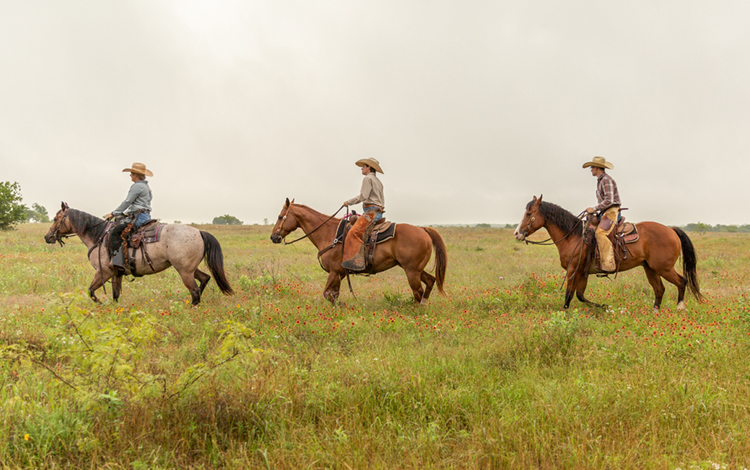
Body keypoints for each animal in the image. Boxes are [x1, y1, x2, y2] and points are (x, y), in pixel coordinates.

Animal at [44, 202, 232, 304]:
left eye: (56, 219)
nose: (47, 237)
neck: (99, 236)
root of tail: (199, 232)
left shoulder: (103, 272)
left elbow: (91, 291)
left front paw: (101, 306)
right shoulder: (116, 273)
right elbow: (115, 294)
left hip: (184, 271)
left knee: (194, 291)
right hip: (189, 269)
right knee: (204, 279)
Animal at [270, 198, 446, 304]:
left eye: (280, 217)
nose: (273, 237)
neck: (329, 233)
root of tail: (422, 229)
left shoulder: (334, 272)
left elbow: (328, 294)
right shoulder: (340, 274)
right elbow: (333, 295)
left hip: (412, 271)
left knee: (418, 291)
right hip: (415, 269)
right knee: (430, 282)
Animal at [516, 196, 704, 310]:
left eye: (529, 213)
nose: (517, 233)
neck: (574, 236)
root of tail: (671, 230)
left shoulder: (573, 270)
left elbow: (569, 295)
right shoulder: (582, 272)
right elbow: (580, 295)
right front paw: (606, 308)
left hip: (664, 268)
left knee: (682, 281)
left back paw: (680, 307)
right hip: (650, 268)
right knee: (659, 289)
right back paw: (655, 313)